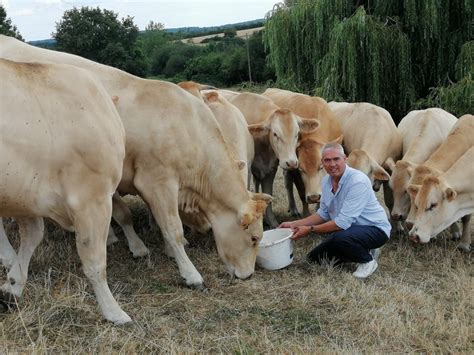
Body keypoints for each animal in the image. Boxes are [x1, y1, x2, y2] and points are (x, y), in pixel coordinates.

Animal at [0, 59, 130, 326]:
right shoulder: (92, 198)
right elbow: (95, 261)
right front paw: (113, 312)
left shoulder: (24, 196)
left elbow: (33, 236)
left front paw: (13, 285)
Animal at [230, 90, 318, 227]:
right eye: (275, 134)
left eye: (297, 134)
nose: (292, 163)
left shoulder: (270, 170)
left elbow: (268, 194)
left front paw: (271, 221)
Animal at [262, 89, 342, 217]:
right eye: (301, 169)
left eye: (321, 167)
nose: (314, 197)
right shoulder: (295, 171)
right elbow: (301, 193)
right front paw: (306, 214)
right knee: (288, 183)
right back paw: (293, 209)